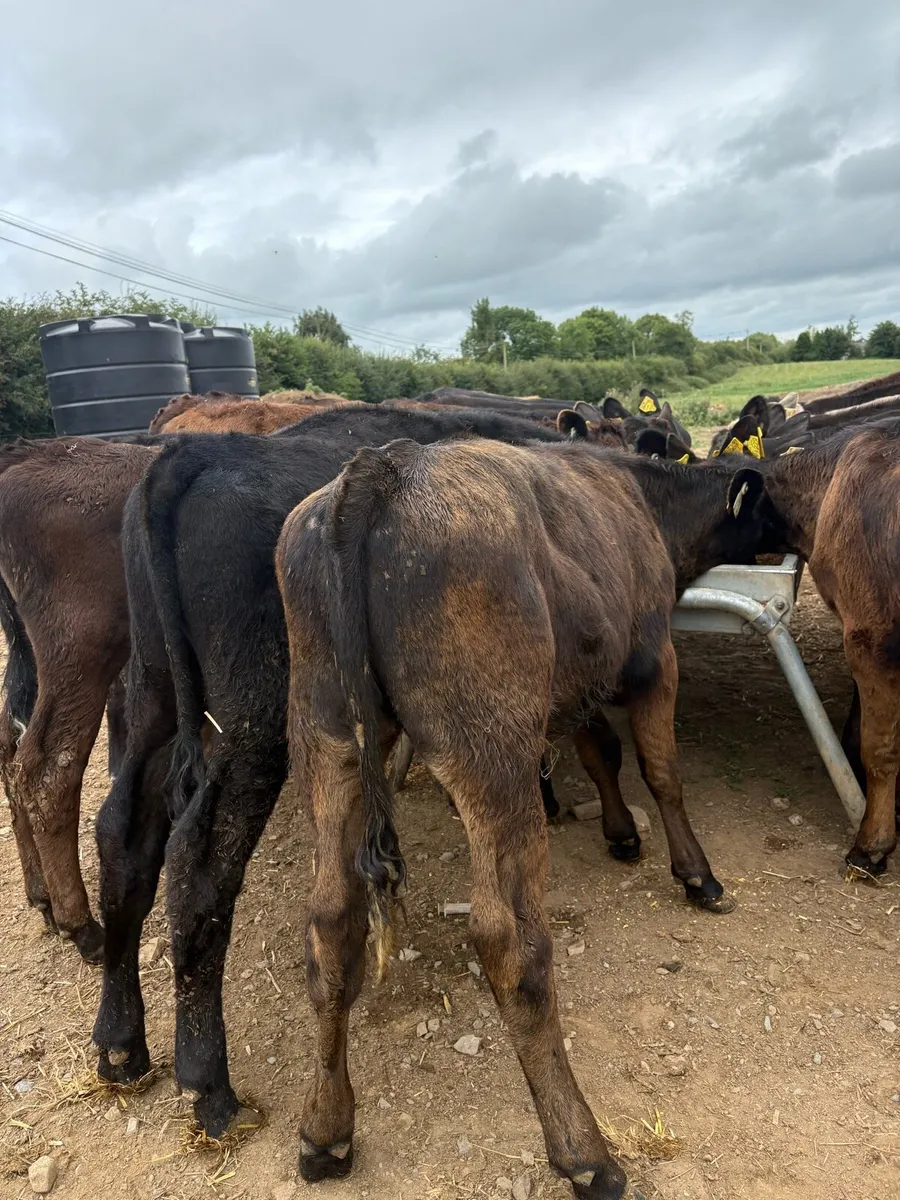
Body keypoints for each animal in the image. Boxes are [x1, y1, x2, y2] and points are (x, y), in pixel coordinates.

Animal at [273, 438, 769, 1196]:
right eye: (769, 505)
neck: (644, 498)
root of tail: (385, 470)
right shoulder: (654, 656)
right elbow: (661, 772)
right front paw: (695, 874)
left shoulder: (582, 677)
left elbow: (599, 751)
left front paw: (620, 833)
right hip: (491, 753)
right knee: (511, 944)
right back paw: (584, 1151)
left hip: (327, 741)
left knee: (330, 927)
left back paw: (326, 1130)